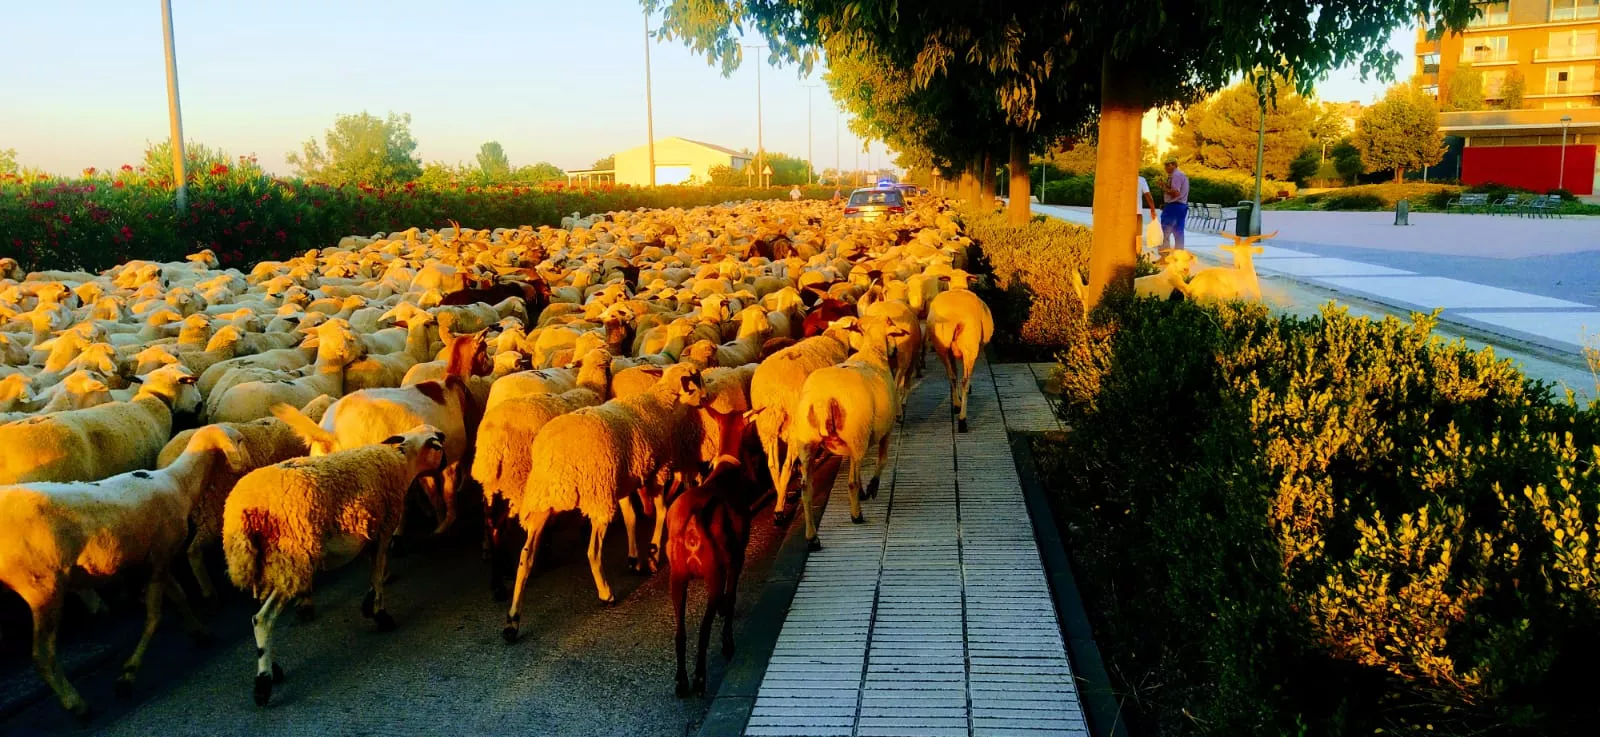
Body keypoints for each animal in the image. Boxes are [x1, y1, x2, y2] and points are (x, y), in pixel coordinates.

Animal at [0, 424, 246, 717]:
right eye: (239, 440)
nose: (244, 465)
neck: (178, 483)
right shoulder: (160, 558)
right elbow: (154, 616)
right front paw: (127, 676)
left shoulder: (156, 558)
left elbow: (179, 596)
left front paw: (200, 632)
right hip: (42, 588)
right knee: (42, 655)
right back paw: (76, 704)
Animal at [223, 425, 446, 707]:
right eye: (438, 445)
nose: (447, 463)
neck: (402, 460)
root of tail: (245, 512)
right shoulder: (383, 530)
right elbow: (377, 575)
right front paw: (381, 615)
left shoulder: (369, 533)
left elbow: (375, 574)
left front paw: (370, 608)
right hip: (290, 559)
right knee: (262, 619)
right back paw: (263, 684)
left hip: (262, 564)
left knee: (258, 616)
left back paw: (273, 668)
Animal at [501, 362, 707, 643]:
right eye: (695, 379)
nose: (707, 398)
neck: (661, 402)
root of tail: (555, 454)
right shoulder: (656, 471)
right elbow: (662, 511)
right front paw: (653, 554)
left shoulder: (624, 481)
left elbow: (631, 517)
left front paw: (634, 559)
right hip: (597, 495)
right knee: (592, 551)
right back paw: (606, 594)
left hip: (542, 501)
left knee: (526, 558)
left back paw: (512, 622)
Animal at [791, 316, 908, 548]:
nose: (894, 351)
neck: (872, 352)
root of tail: (822, 399)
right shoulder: (885, 430)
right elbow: (882, 461)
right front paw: (871, 488)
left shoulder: (855, 447)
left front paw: (865, 489)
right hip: (857, 435)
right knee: (851, 482)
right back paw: (857, 515)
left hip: (806, 443)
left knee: (805, 488)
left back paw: (812, 537)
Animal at [927, 283, 995, 434]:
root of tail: (955, 318)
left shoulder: (951, 353)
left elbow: (954, 373)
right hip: (970, 348)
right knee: (964, 380)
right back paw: (963, 421)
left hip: (942, 348)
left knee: (951, 376)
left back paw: (957, 406)